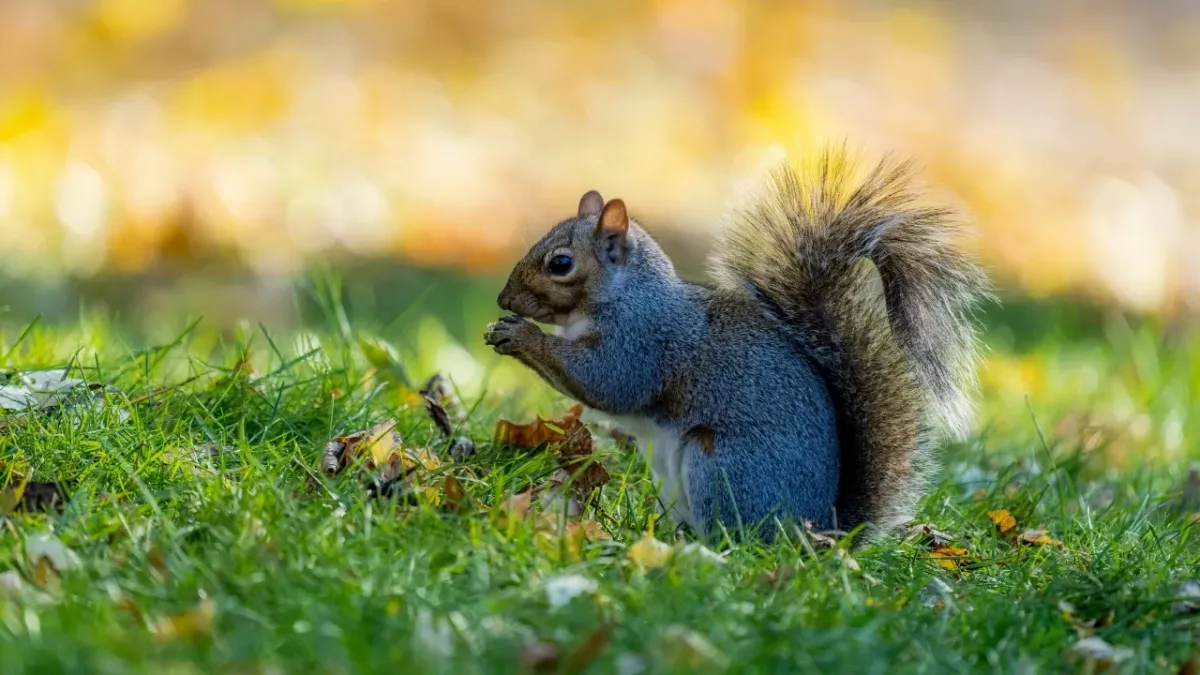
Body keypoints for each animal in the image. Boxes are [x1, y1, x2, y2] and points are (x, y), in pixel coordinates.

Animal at [484, 148, 990, 540]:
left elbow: (609, 383)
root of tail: (816, 530)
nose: (503, 299)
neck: (621, 293)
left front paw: (520, 335)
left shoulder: (643, 338)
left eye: (561, 263)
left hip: (722, 468)